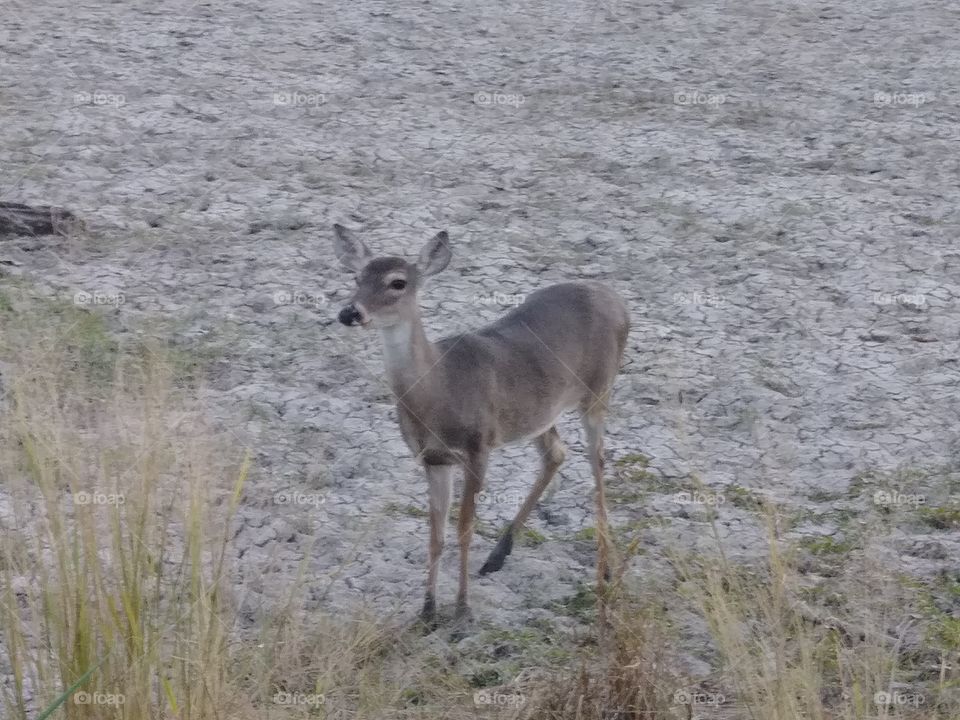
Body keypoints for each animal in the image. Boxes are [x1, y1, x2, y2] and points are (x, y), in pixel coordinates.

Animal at [332, 224, 630, 632]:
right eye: (356, 278)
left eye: (398, 282)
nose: (349, 312)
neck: (439, 387)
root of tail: (617, 300)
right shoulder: (433, 458)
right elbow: (435, 535)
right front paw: (427, 612)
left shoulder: (478, 447)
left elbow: (464, 529)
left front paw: (462, 612)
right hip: (539, 412)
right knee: (556, 453)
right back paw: (497, 557)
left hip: (599, 390)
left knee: (597, 466)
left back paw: (606, 571)